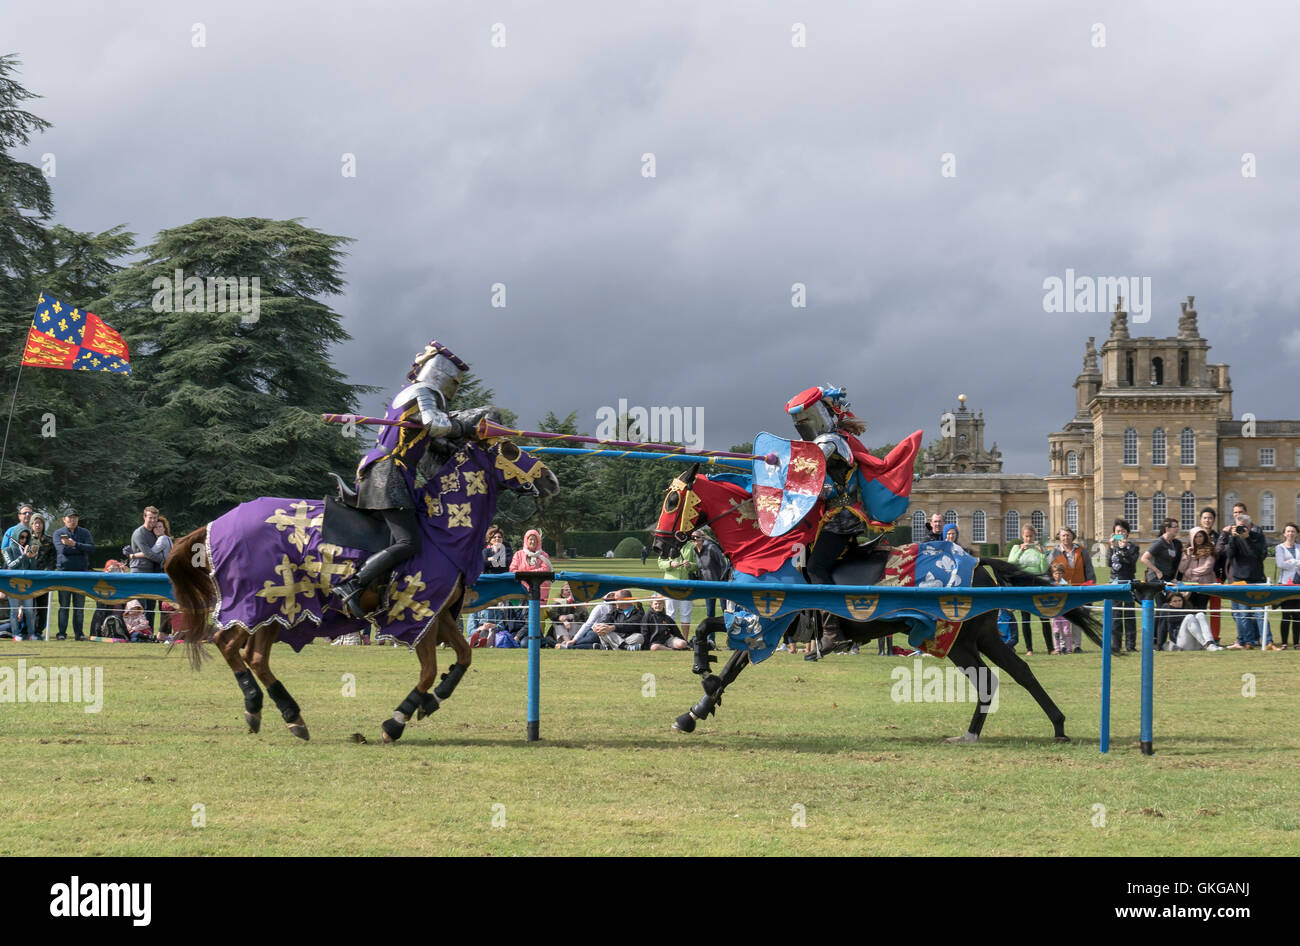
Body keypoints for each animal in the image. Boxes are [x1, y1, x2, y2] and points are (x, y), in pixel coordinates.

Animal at [163, 436, 553, 738]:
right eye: (511, 450)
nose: (551, 479)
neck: (439, 531)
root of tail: (215, 524)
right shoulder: (416, 612)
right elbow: (427, 671)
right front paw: (397, 720)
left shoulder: (438, 614)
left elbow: (464, 657)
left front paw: (433, 699)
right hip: (262, 602)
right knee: (231, 645)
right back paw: (269, 708)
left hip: (276, 608)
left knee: (250, 654)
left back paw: (280, 714)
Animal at [650, 465, 1097, 748]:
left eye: (672, 500)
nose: (658, 544)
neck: (765, 550)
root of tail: (976, 561)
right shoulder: (755, 622)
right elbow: (708, 637)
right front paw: (700, 688)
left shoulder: (766, 624)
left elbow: (726, 663)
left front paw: (698, 701)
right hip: (975, 637)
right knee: (1014, 673)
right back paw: (1050, 726)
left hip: (957, 638)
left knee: (995, 676)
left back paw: (987, 732)